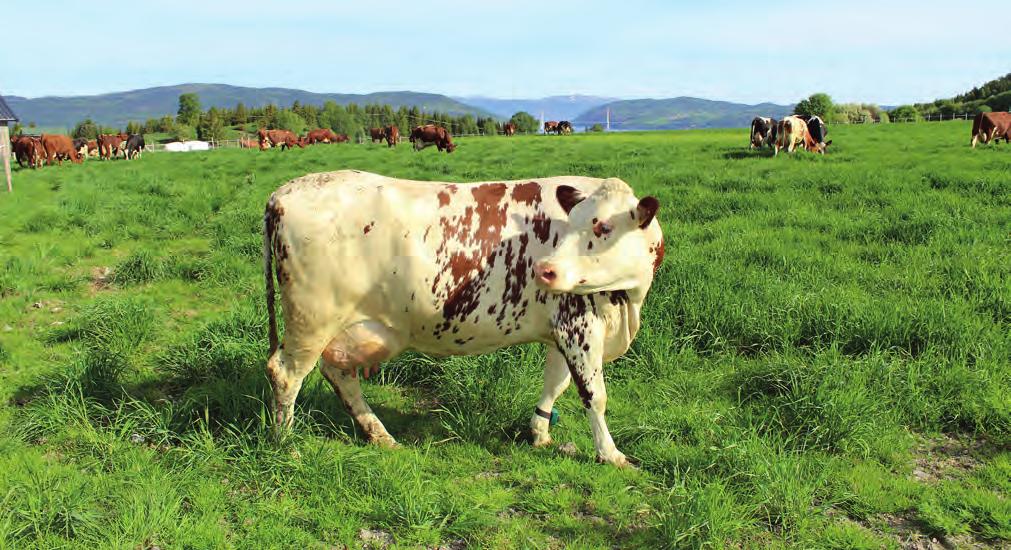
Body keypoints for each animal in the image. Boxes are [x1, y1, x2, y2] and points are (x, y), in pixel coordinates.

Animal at [264, 169, 667, 467]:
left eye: (603, 228)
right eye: (572, 226)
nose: (545, 270)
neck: (628, 302)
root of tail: (284, 191)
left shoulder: (561, 327)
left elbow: (556, 383)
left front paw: (540, 433)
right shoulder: (577, 324)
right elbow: (594, 394)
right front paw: (611, 454)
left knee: (338, 373)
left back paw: (380, 435)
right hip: (311, 319)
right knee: (285, 373)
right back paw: (285, 445)